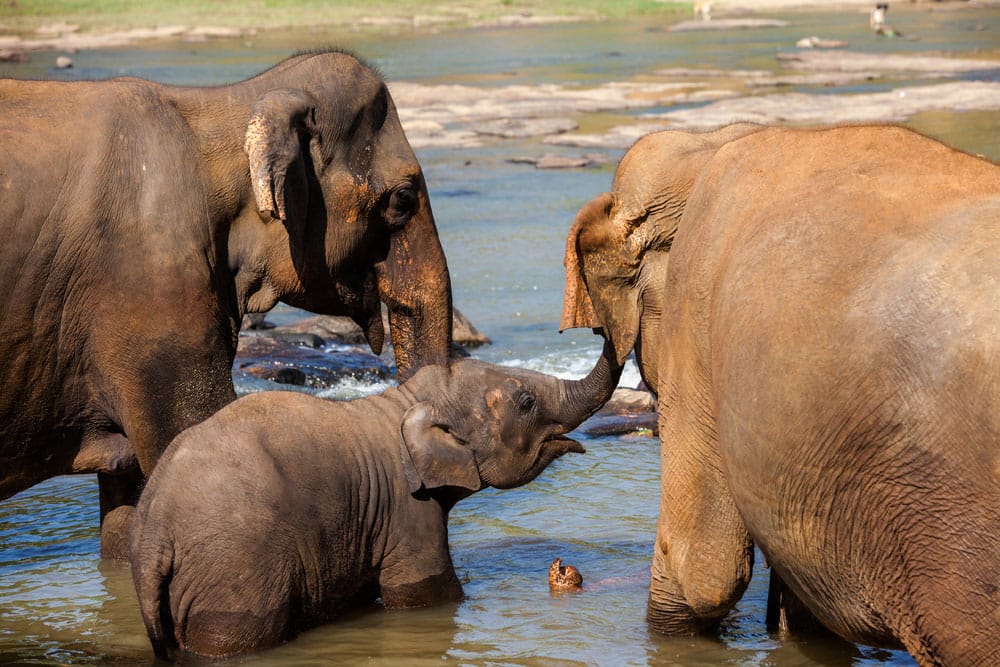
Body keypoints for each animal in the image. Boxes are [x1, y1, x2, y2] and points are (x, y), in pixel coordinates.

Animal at [130, 342, 620, 660]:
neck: (402, 400)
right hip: (236, 570)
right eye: (525, 402)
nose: (603, 327)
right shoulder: (408, 509)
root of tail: (154, 533)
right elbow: (424, 592)